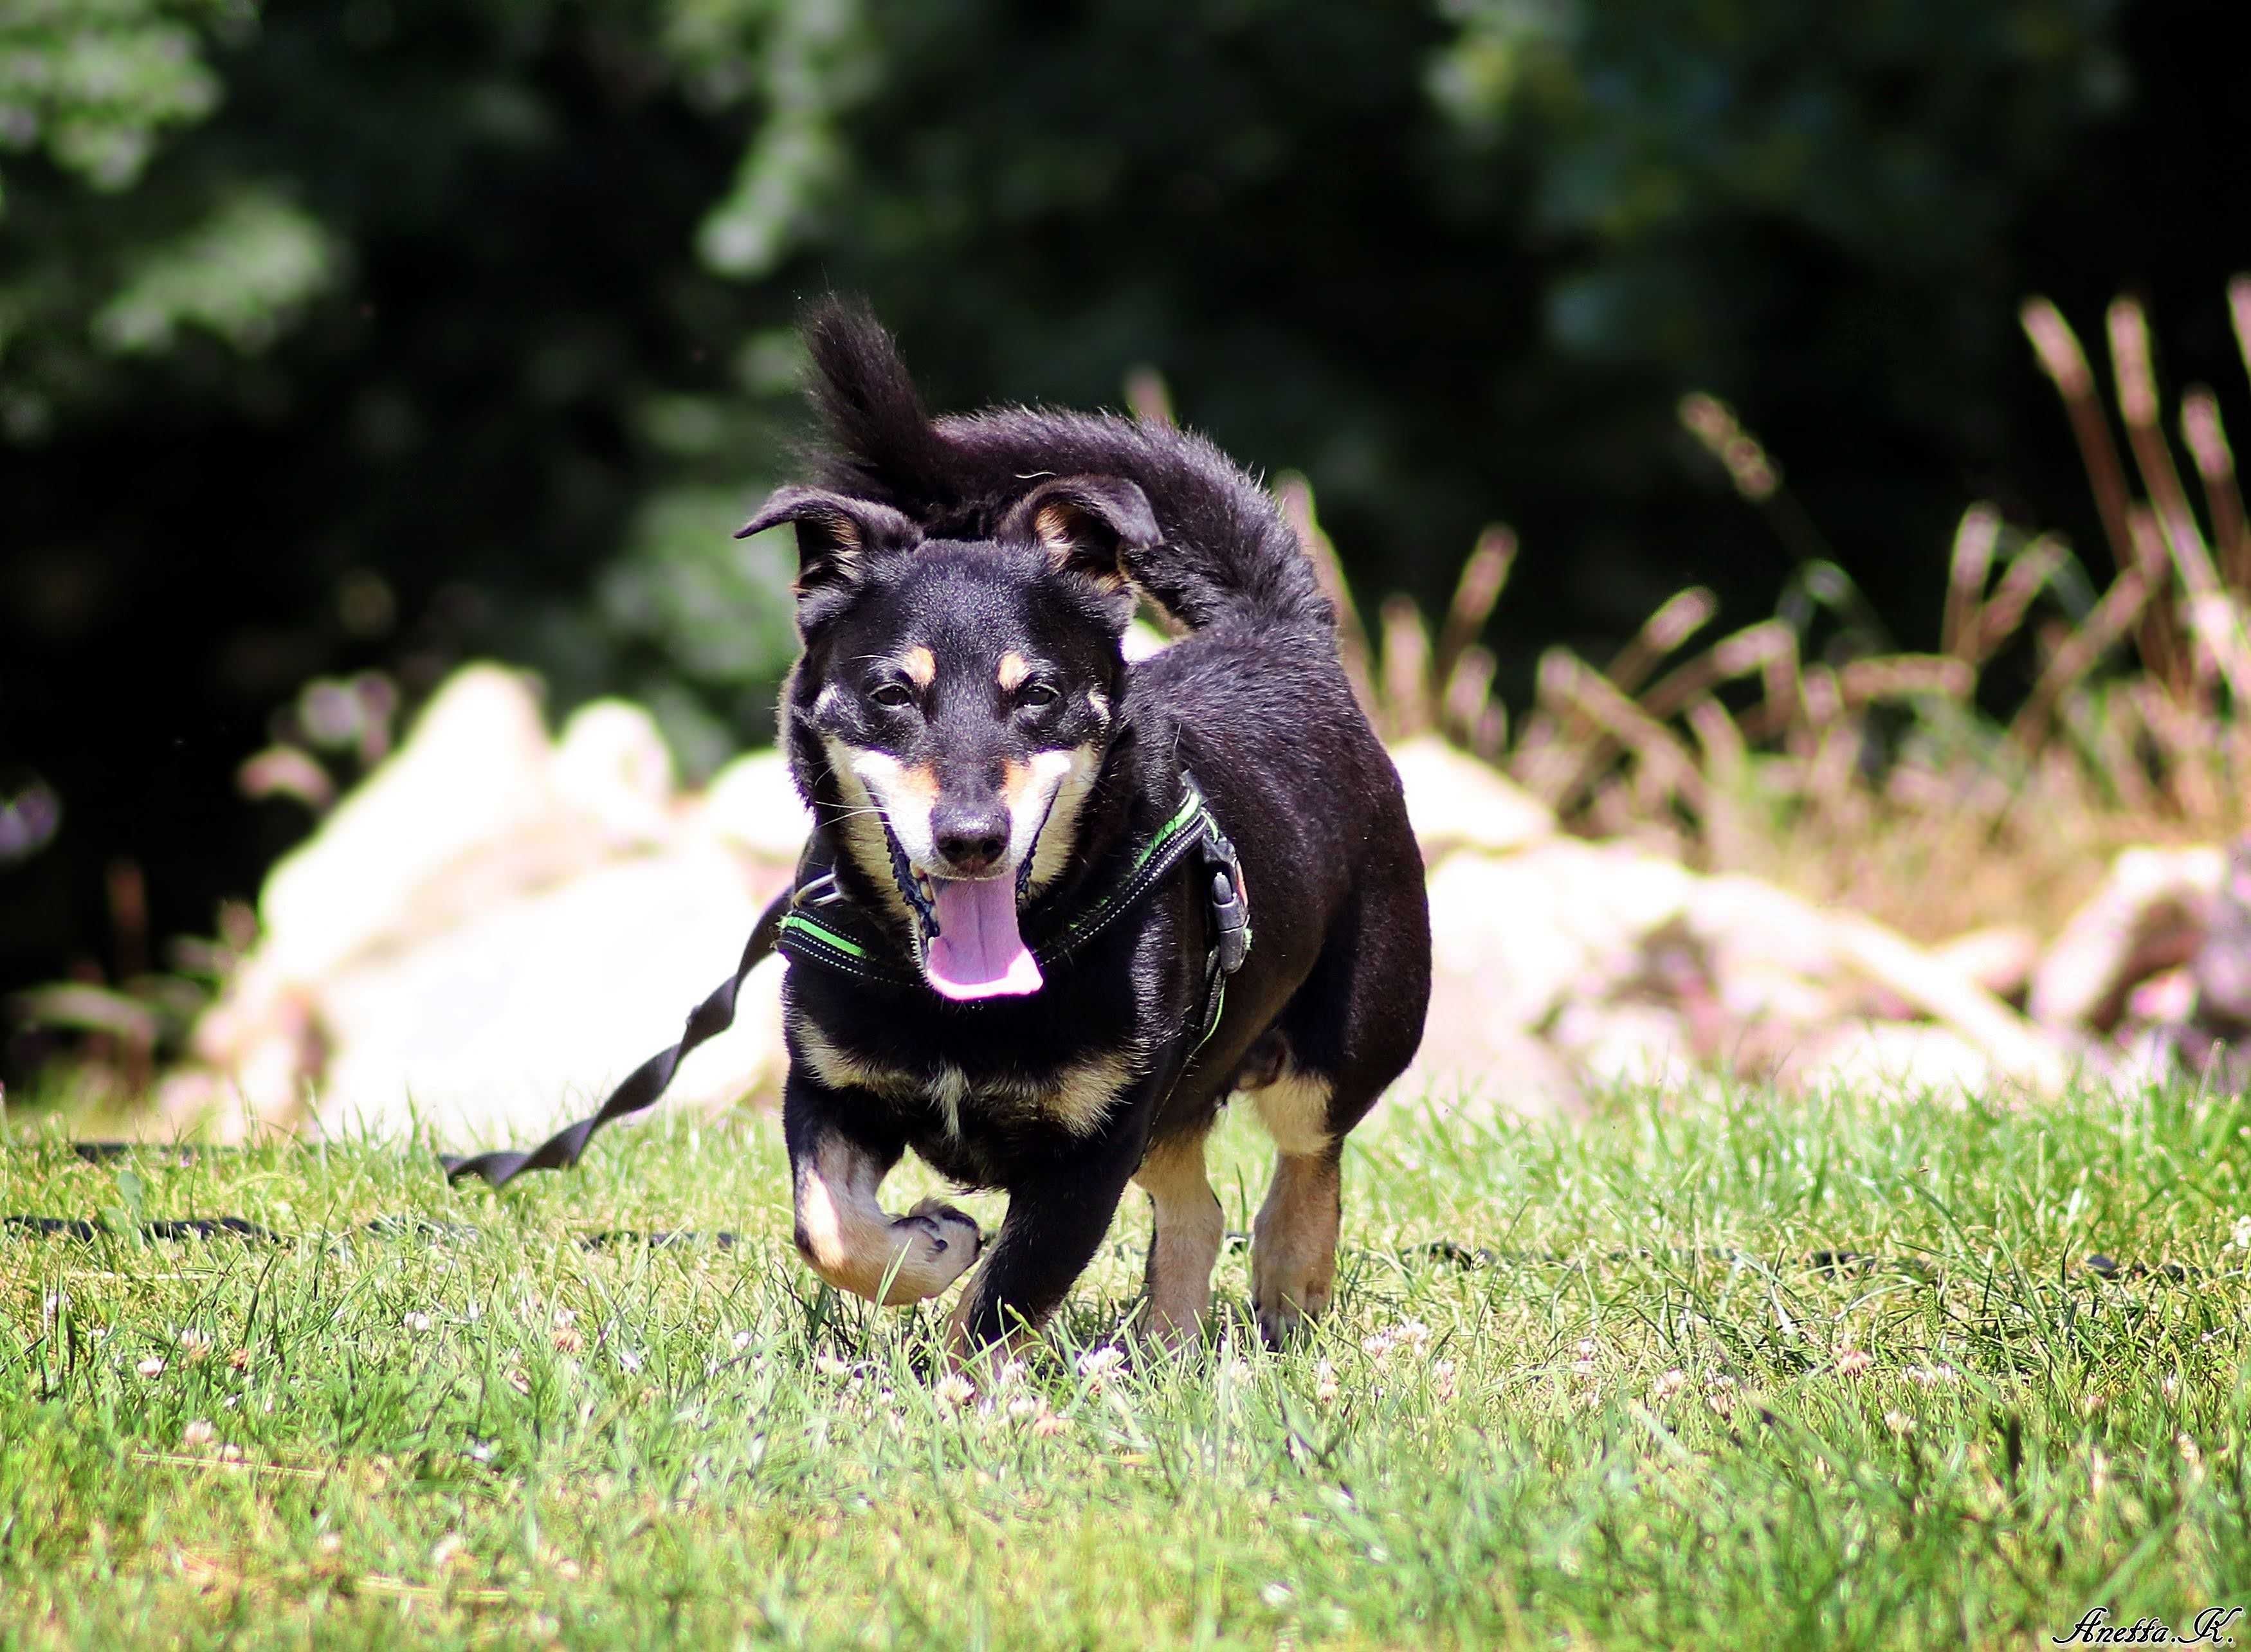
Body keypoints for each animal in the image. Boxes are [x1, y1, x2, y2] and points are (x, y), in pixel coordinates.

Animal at [747, 304, 1432, 1368]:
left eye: (1038, 694)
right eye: (894, 693)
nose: (972, 837)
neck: (965, 998)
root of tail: (1283, 636)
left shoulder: (1093, 1146)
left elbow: (1006, 1297)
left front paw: (961, 1385)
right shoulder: (828, 1086)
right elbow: (831, 1228)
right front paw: (932, 1244)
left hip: (1347, 1035)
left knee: (1307, 1153)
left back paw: (1289, 1279)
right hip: (1178, 1097)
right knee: (1197, 1202)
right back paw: (1165, 1346)